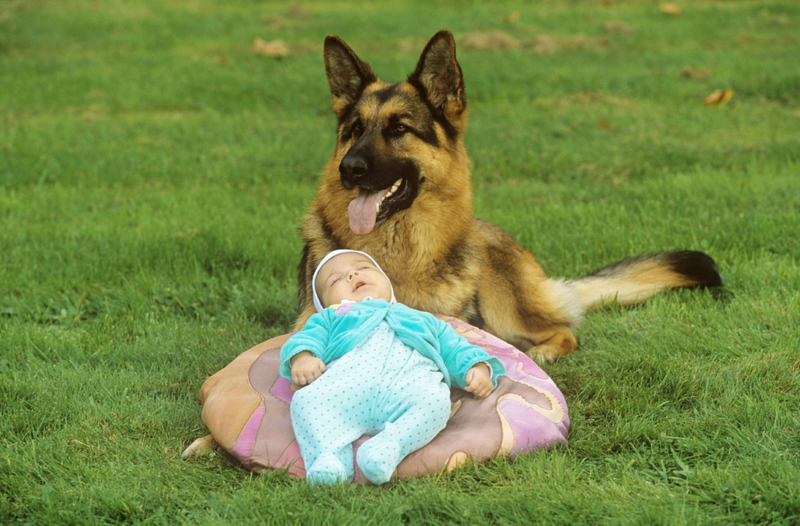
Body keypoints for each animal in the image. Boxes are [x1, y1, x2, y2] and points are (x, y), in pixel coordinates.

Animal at [296, 31, 720, 366]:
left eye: (399, 129)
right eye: (355, 130)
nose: (349, 168)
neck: (393, 255)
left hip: (505, 305)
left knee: (564, 329)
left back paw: (544, 352)